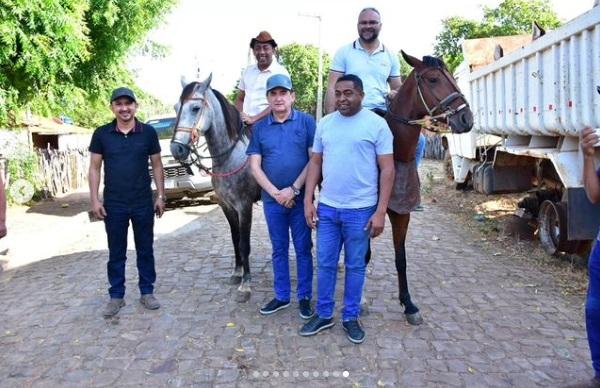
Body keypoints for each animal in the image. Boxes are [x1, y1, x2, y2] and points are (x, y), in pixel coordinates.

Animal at [171, 74, 260, 302]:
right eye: (176, 107)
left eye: (195, 108)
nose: (176, 149)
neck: (230, 156)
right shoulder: (227, 206)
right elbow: (235, 239)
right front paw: (237, 273)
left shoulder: (244, 206)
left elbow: (244, 244)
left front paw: (246, 285)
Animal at [384, 51, 474, 324]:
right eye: (433, 79)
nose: (466, 119)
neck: (395, 151)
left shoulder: (402, 214)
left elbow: (401, 258)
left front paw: (408, 304)